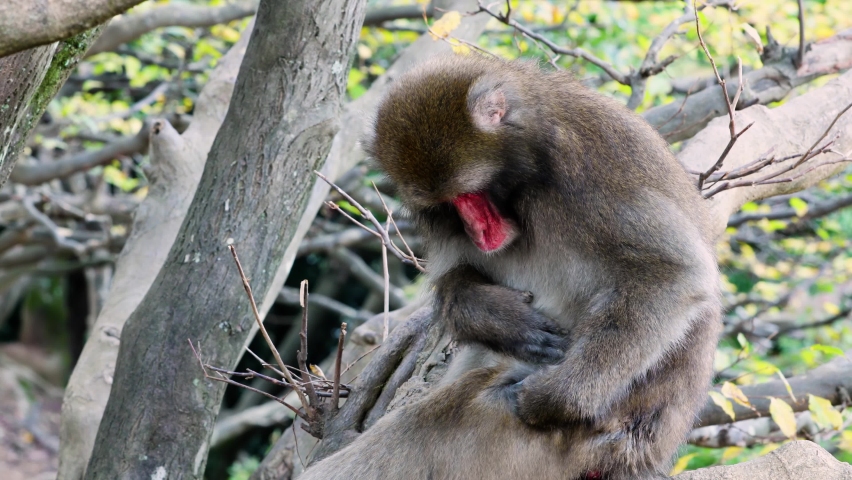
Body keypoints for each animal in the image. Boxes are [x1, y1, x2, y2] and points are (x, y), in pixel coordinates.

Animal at [301, 54, 721, 480]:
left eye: (471, 192)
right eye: (446, 204)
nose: (480, 231)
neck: (531, 170)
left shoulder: (595, 163)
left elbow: (670, 274)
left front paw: (552, 398)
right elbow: (458, 275)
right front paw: (500, 318)